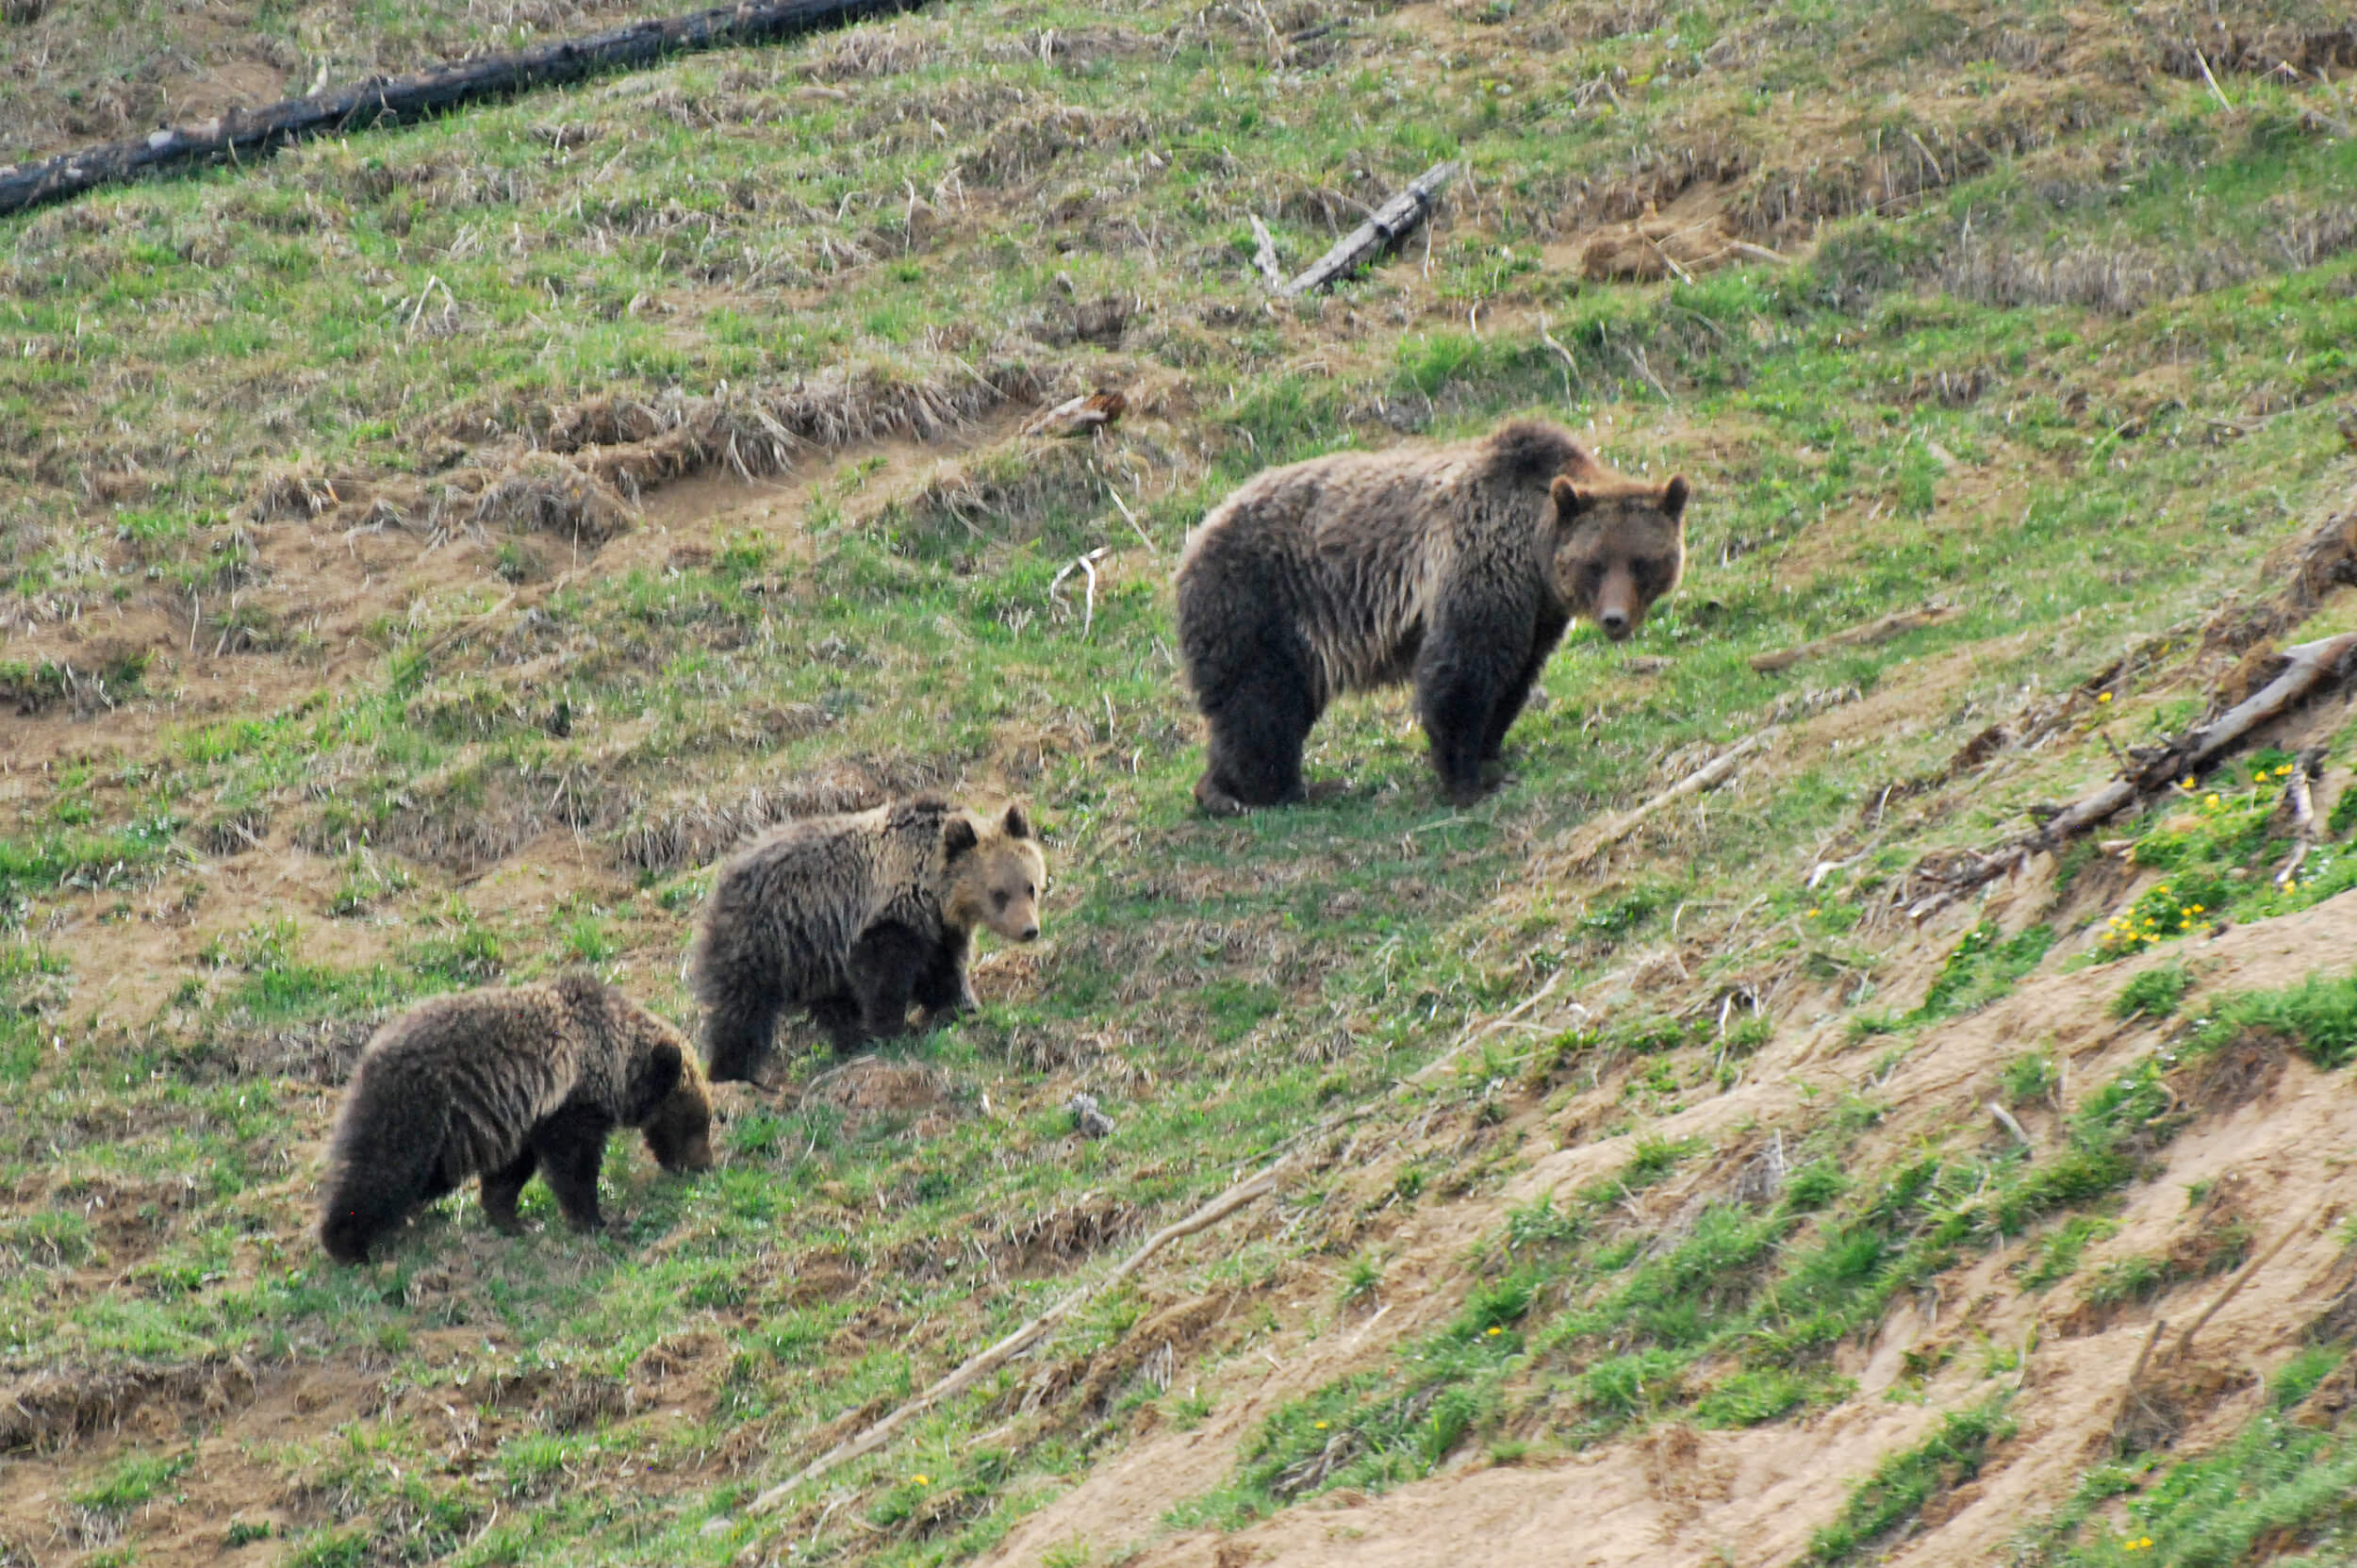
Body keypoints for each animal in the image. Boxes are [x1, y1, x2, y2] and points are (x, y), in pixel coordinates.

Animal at [317, 973, 715, 1265]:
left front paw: (514, 1220)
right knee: (385, 1169)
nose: (704, 1165)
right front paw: (598, 1221)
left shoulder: (525, 1117)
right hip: (419, 1109)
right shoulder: (571, 1107)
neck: (611, 1061)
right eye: (698, 1121)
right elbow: (574, 1167)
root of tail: (370, 1051)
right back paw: (348, 1246)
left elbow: (510, 1171)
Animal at [689, 796, 1045, 1085]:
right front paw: (893, 1031)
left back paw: (849, 1041)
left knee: (832, 1003)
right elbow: (884, 978)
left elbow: (944, 969)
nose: (1029, 929)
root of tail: (726, 872)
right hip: (767, 935)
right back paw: (731, 1072)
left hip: (815, 953)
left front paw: (961, 1006)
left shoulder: (939, 928)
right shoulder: (884, 918)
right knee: (741, 1006)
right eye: (999, 893)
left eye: (1030, 886)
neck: (932, 890)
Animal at [1173, 419, 1691, 813]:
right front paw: (1467, 780)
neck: (1533, 554)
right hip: (1258, 600)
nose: (1615, 619)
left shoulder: (1539, 613)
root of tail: (1198, 531)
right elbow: (1462, 672)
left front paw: (1493, 752)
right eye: (1595, 563)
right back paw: (1284, 790)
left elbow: (1515, 675)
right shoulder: (1480, 567)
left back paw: (1219, 787)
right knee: (1261, 699)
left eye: (1642, 562)